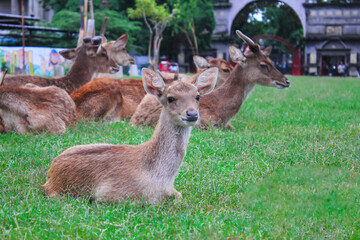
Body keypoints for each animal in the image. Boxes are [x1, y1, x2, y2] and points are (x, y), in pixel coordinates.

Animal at [40, 66, 218, 203]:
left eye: (197, 96)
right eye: (170, 98)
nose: (192, 114)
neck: (161, 177)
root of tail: (49, 174)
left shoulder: (173, 190)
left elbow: (179, 196)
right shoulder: (110, 193)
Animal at [129, 30, 290, 129]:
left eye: (271, 61)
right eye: (263, 64)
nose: (286, 81)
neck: (221, 112)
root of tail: (134, 119)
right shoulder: (203, 124)